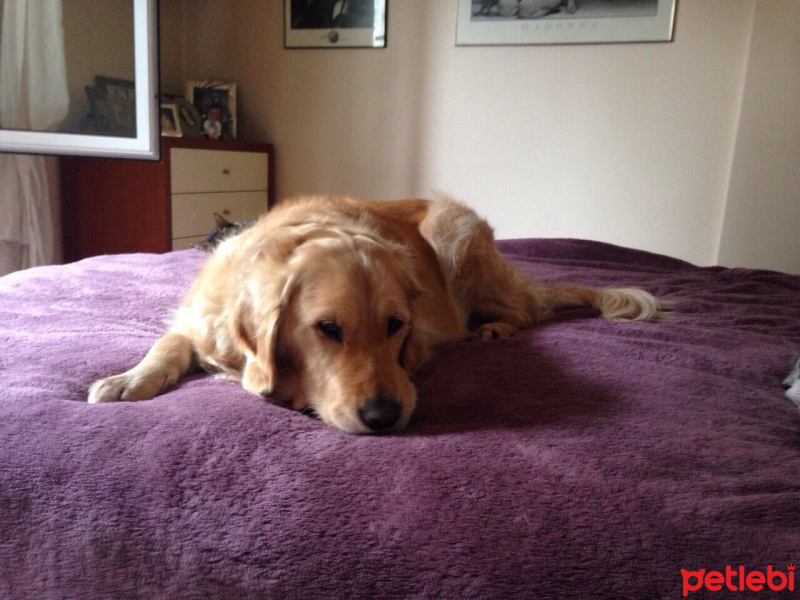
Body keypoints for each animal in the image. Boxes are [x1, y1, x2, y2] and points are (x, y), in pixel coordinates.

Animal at [87, 195, 668, 434]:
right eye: (327, 329)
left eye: (396, 326)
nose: (385, 416)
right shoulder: (200, 321)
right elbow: (170, 342)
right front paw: (128, 379)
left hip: (455, 237)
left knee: (529, 310)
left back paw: (496, 327)